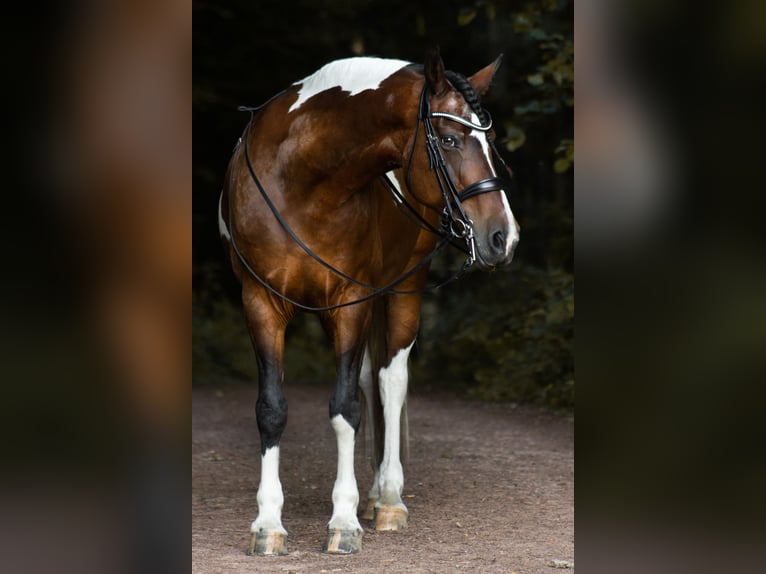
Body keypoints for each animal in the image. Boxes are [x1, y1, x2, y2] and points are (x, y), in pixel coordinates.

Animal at [220, 51, 520, 556]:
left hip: (403, 291)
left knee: (389, 381)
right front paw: (268, 524)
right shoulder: (260, 301)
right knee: (366, 377)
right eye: (449, 139)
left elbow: (346, 409)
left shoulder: (352, 300)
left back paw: (388, 498)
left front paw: (343, 520)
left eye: (491, 140)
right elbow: (272, 409)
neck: (301, 180)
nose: (504, 237)